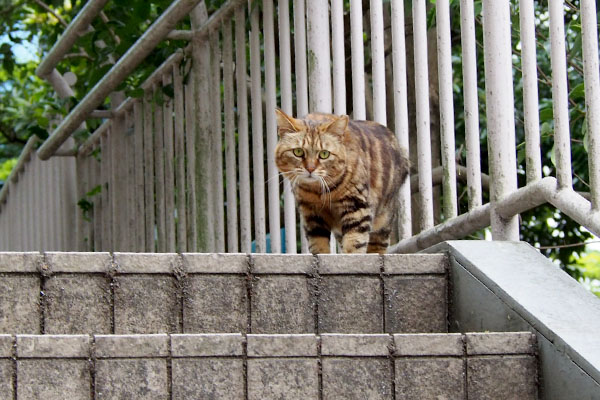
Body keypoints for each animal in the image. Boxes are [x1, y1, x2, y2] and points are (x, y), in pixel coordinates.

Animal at [276, 108, 408, 253]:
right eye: (298, 152)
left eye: (324, 154)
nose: (310, 169)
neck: (319, 192)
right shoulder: (311, 214)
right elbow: (319, 246)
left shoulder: (357, 207)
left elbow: (354, 243)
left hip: (383, 221)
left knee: (377, 246)